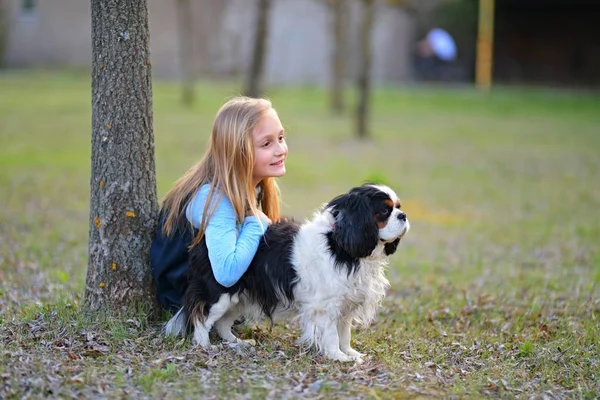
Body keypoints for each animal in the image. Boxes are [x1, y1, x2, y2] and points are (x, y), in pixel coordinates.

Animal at [164, 184, 408, 362]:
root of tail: (202, 240)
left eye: (398, 206)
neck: (340, 245)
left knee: (223, 323)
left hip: (240, 297)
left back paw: (237, 343)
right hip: (220, 294)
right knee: (201, 317)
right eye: (385, 211)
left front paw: (349, 352)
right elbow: (331, 334)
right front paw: (338, 357)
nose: (403, 215)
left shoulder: (345, 305)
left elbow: (344, 334)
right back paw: (204, 345)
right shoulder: (326, 306)